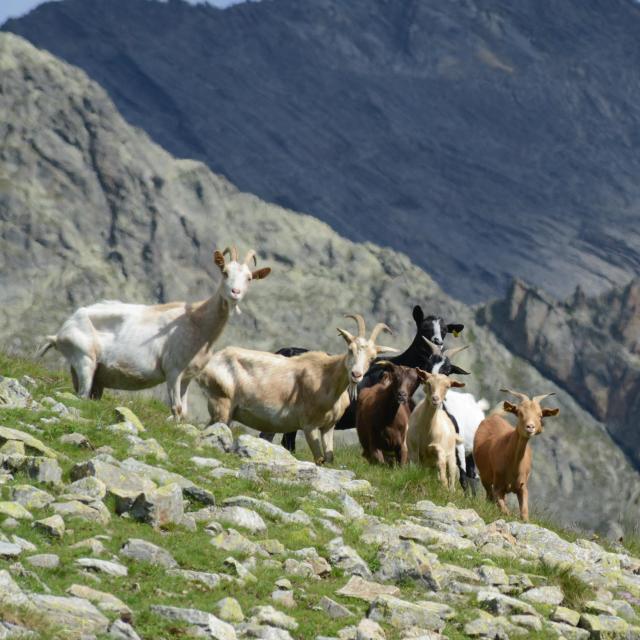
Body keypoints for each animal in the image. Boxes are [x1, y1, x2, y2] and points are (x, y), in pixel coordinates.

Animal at [37, 246, 268, 420]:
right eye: (225, 272)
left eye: (249, 278)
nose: (235, 293)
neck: (198, 324)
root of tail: (60, 333)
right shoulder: (173, 371)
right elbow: (176, 409)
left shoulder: (187, 377)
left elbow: (184, 412)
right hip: (85, 359)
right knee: (82, 395)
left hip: (92, 373)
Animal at [472, 390, 556, 520]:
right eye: (519, 413)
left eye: (540, 415)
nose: (530, 427)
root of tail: (494, 416)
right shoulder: (498, 487)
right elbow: (505, 511)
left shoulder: (522, 487)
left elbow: (524, 514)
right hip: (484, 476)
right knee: (488, 495)